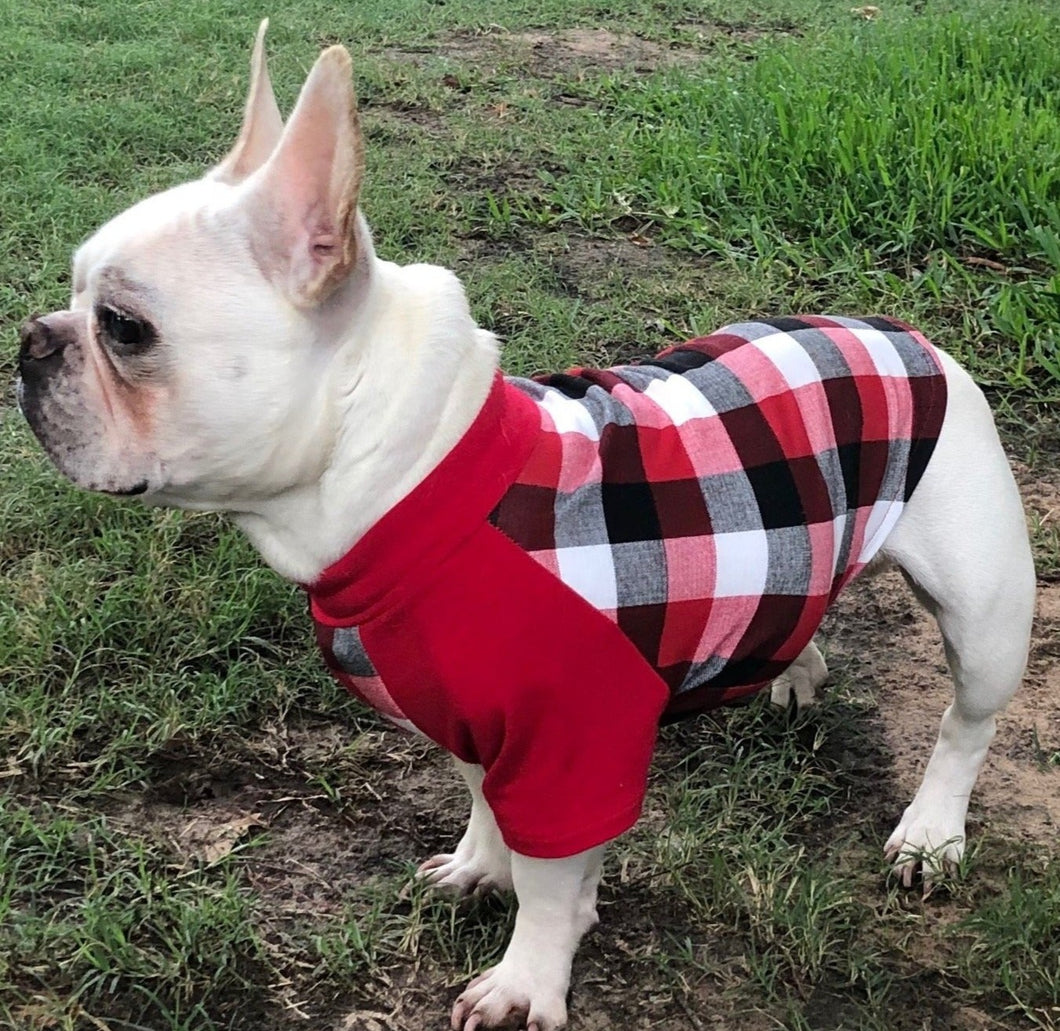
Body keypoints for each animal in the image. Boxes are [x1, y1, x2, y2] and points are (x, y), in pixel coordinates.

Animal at [16, 24, 1034, 1029]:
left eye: (124, 327)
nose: (31, 339)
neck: (419, 485)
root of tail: (911, 334)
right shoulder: (469, 719)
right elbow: (482, 802)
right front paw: (479, 866)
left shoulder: (570, 749)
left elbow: (551, 881)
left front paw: (525, 979)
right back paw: (791, 670)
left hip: (983, 612)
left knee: (966, 724)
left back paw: (931, 832)